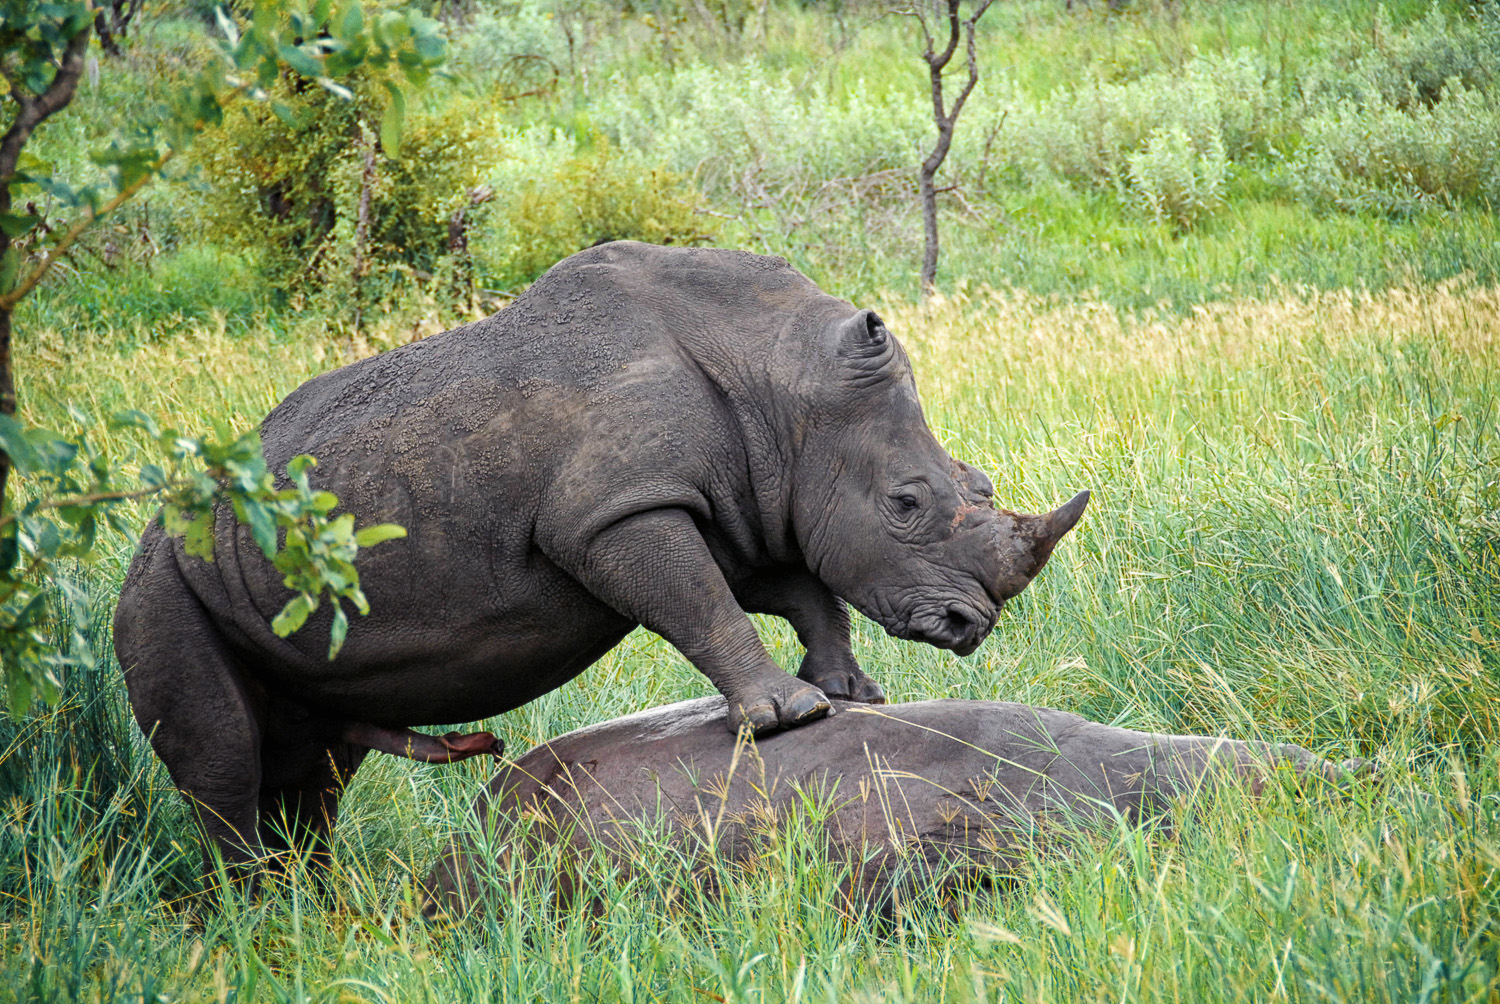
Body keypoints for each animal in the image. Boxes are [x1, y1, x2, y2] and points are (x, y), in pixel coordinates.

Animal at [113, 242, 1087, 878]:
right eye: (907, 504)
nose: (970, 624)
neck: (780, 379)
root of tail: (157, 527)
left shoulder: (738, 495)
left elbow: (796, 590)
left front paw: (853, 695)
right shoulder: (617, 511)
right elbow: (704, 601)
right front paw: (790, 717)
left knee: (311, 764)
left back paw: (310, 904)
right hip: (162, 575)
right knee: (226, 760)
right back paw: (260, 914)